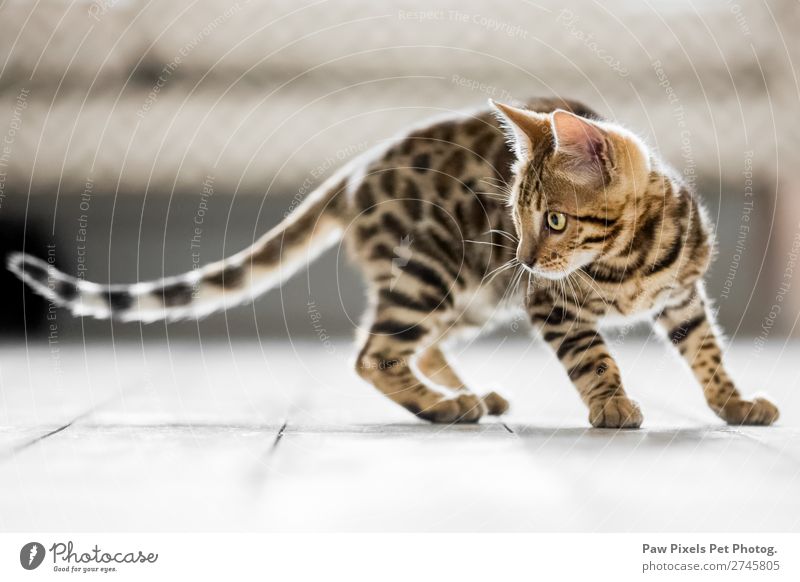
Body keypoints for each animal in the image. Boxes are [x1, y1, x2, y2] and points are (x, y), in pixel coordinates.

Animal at [7, 97, 780, 428]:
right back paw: (442, 407)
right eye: (519, 216)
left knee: (419, 345)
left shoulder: (684, 296)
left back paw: (465, 393)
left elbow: (708, 352)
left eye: (554, 218)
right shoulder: (549, 305)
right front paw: (612, 402)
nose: (526, 256)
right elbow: (594, 356)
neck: (629, 261)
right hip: (438, 266)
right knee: (373, 352)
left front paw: (732, 401)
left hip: (470, 293)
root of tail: (355, 173)